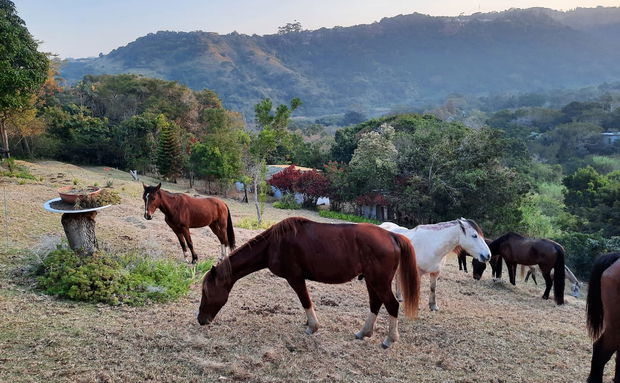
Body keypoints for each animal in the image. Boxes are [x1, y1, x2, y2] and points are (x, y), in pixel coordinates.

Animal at [199, 218, 422, 350]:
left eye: (206, 292)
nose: (201, 320)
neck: (274, 243)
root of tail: (392, 235)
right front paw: (309, 324)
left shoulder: (295, 278)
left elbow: (305, 301)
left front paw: (312, 326)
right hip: (371, 280)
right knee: (375, 303)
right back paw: (364, 332)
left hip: (379, 281)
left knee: (392, 305)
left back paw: (389, 339)